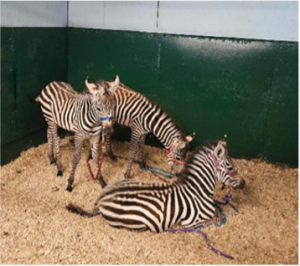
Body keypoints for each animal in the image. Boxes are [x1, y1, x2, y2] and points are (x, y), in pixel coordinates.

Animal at [67, 136, 245, 232]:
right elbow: (217, 217)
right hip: (137, 224)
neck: (198, 191)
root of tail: (102, 200)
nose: (244, 184)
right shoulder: (193, 221)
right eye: (230, 167)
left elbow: (218, 212)